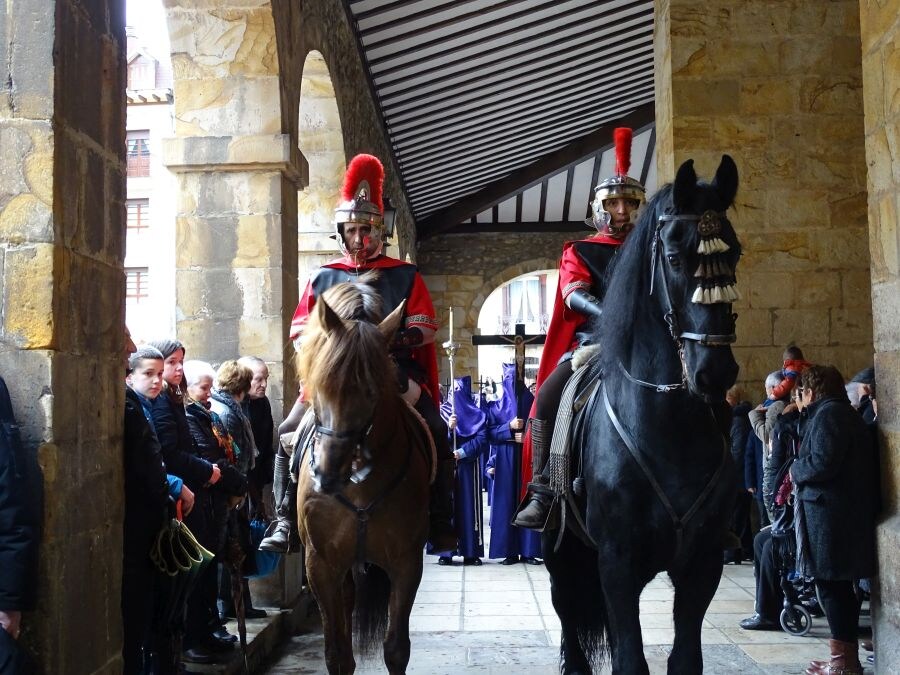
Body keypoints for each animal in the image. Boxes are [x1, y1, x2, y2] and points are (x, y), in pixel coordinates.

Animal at [296, 280, 432, 675]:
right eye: (320, 386)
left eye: (372, 392)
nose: (327, 475)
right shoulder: (321, 565)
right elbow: (336, 654)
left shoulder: (406, 562)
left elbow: (396, 649)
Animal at [544, 156, 740, 672]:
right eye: (673, 258)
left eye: (735, 253)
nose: (715, 371)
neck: (668, 429)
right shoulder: (616, 560)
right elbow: (631, 659)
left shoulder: (703, 561)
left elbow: (683, 658)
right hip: (561, 549)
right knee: (568, 614)